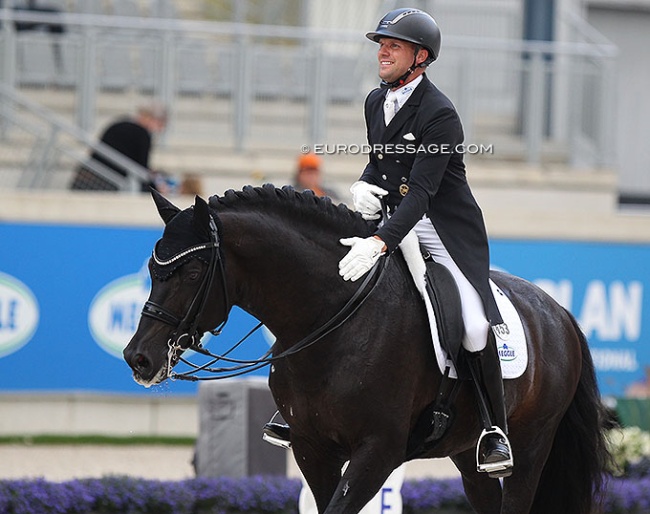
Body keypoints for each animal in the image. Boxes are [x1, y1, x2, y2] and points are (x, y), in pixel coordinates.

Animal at [124, 185, 612, 512]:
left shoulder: (379, 450)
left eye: (193, 272)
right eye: (151, 268)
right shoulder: (313, 448)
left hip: (530, 448)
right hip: (466, 454)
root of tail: (560, 314)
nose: (139, 358)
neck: (334, 318)